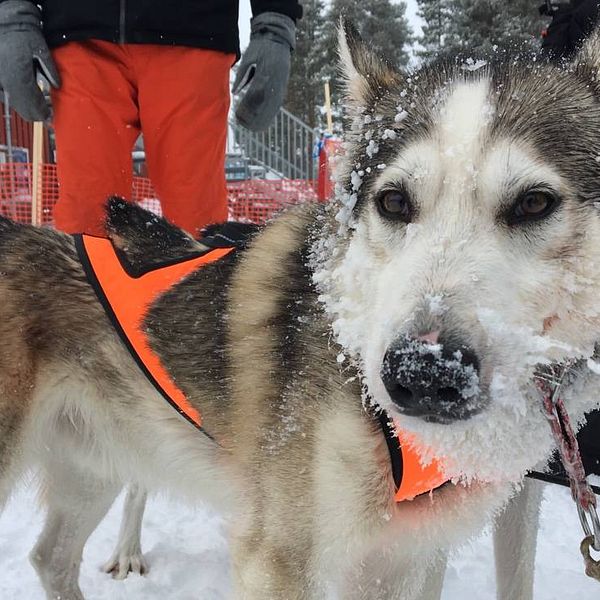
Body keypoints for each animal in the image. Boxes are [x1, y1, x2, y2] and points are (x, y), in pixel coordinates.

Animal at [1, 21, 600, 600]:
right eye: (394, 202)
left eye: (534, 202)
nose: (424, 371)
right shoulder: (279, 558)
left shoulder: (403, 556)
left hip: (94, 467)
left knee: (50, 557)